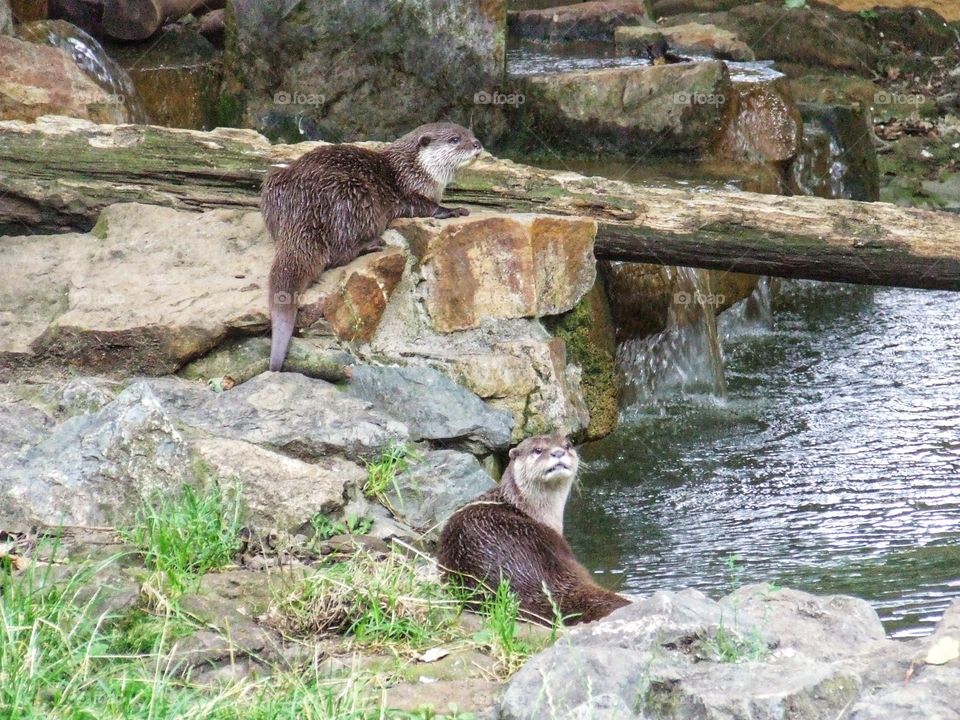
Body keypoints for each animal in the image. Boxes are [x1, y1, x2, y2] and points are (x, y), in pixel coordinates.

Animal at [261, 122, 482, 371]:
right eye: (455, 139)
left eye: (470, 134)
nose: (477, 144)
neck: (412, 171)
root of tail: (299, 207)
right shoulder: (408, 194)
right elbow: (428, 208)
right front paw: (454, 210)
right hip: (355, 194)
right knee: (338, 254)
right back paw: (372, 244)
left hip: (272, 181)